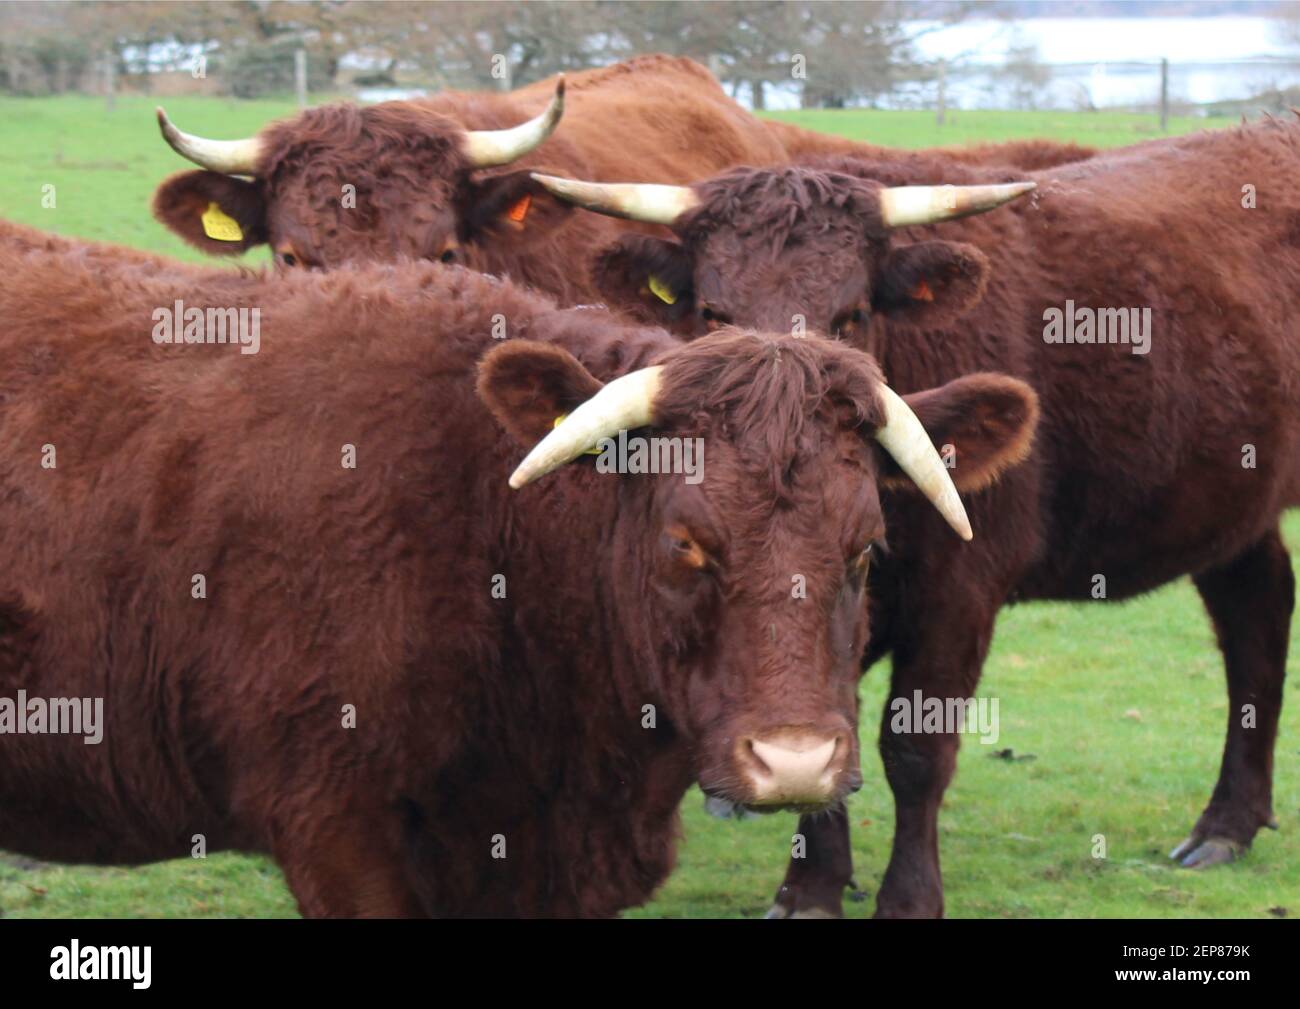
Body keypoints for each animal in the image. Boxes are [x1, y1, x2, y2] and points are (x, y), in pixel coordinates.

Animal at [535, 116, 1300, 915]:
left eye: (853, 312)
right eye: (713, 312)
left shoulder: (960, 589)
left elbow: (915, 749)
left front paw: (906, 897)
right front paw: (811, 885)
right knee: (1256, 610)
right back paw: (1228, 822)